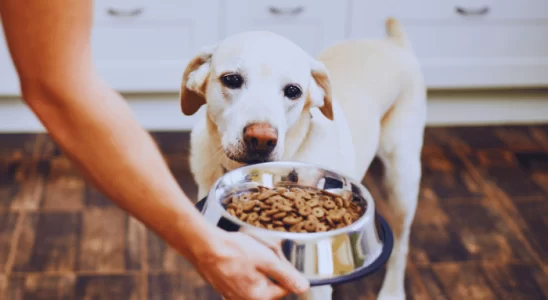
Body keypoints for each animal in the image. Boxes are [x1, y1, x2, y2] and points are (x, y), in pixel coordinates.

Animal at [180, 18, 428, 300]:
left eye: (293, 91)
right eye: (231, 79)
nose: (261, 139)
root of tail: (394, 44)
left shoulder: (315, 289)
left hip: (402, 182)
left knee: (401, 245)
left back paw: (392, 291)